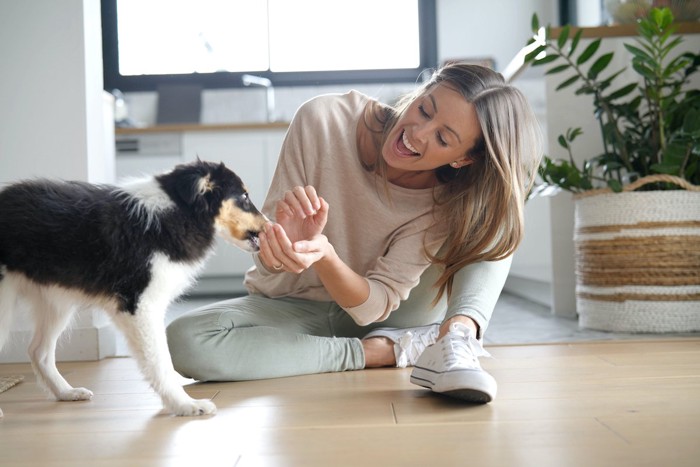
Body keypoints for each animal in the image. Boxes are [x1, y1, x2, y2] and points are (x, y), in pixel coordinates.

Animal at [0, 161, 268, 416]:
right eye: (244, 196)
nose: (270, 223)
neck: (176, 212)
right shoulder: (140, 305)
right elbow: (159, 360)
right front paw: (185, 406)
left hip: (55, 301)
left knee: (39, 351)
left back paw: (66, 392)